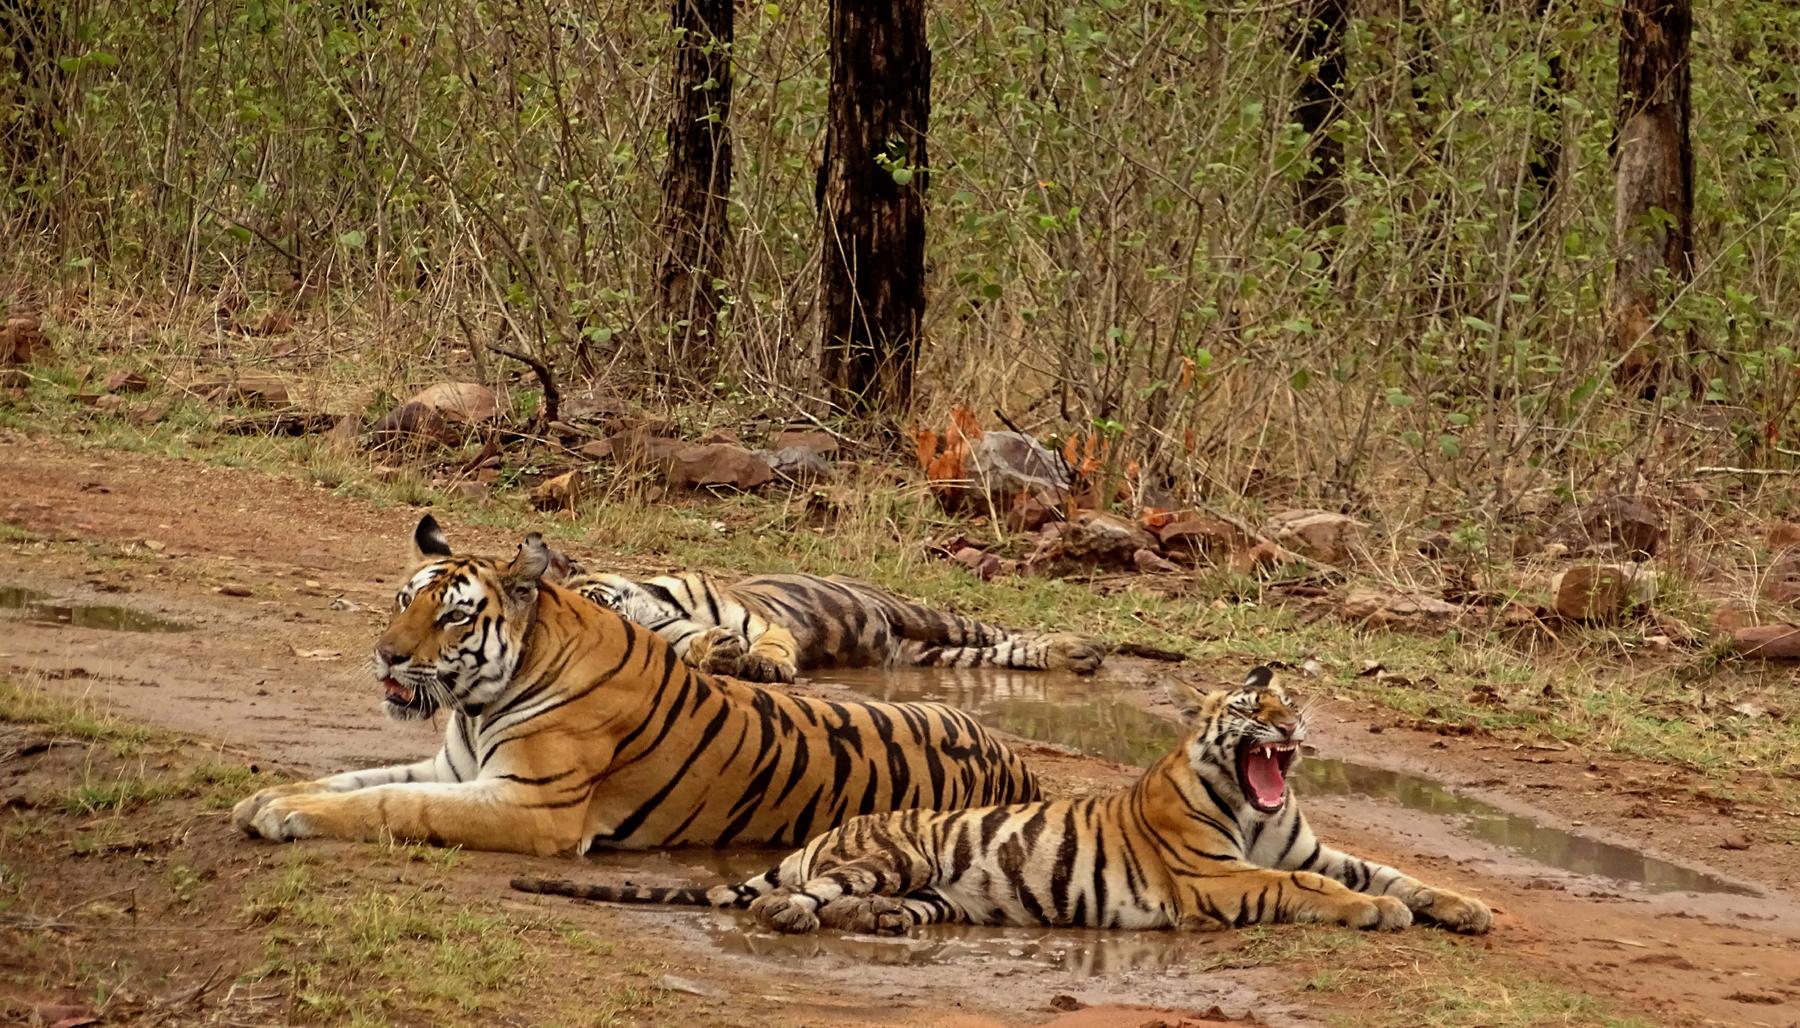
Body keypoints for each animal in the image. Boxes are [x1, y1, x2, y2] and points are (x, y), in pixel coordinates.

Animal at [230, 515, 1043, 855]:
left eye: (454, 616)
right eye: (404, 600)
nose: (386, 657)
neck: (478, 705)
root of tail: (1018, 761)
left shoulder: (534, 806)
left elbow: (394, 805)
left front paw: (286, 814)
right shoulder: (451, 768)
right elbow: (357, 779)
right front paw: (269, 797)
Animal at [510, 666, 1493, 936]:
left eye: (1290, 701)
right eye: (1255, 710)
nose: (1292, 731)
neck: (1257, 806)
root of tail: (826, 836)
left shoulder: (1311, 848)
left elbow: (1391, 872)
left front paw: (1464, 907)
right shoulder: (1217, 877)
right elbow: (1317, 890)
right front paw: (1377, 916)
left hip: (941, 890)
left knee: (857, 908)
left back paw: (878, 925)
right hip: (887, 853)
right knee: (770, 901)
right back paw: (795, 913)